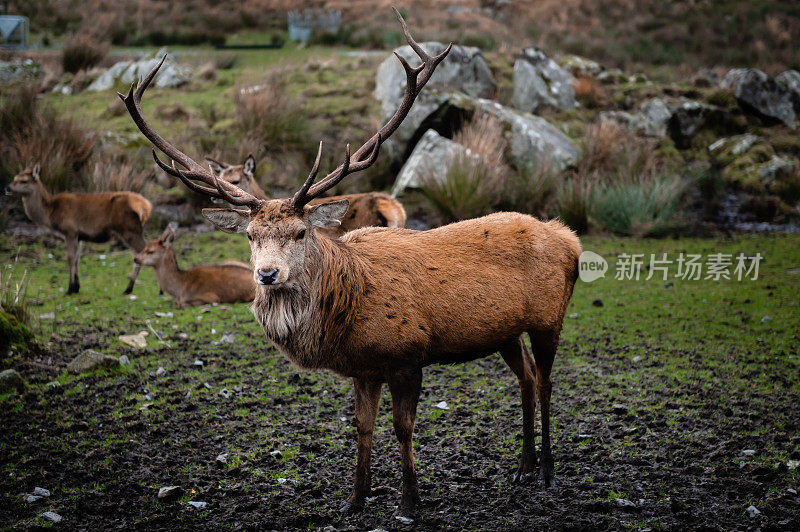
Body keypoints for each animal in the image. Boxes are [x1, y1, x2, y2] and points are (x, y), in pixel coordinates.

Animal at [5, 164, 152, 294]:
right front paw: (76, 286)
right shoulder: (79, 236)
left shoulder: (70, 231)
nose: (7, 188)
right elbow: (77, 258)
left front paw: (70, 289)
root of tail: (145, 205)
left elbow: (70, 258)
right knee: (138, 255)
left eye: (24, 180)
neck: (50, 214)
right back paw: (128, 288)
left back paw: (131, 288)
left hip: (130, 230)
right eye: (14, 177)